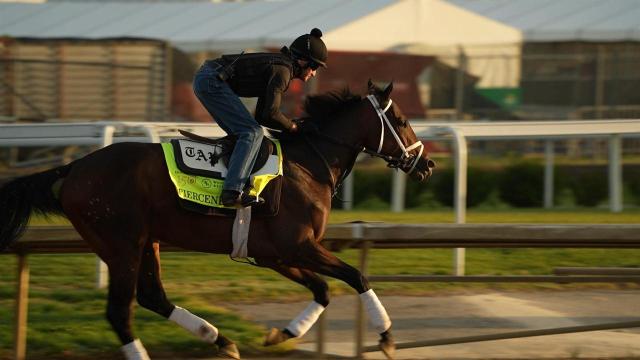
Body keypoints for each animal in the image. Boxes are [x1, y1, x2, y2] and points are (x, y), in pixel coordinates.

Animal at [1, 81, 436, 360]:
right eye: (400, 120)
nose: (427, 164)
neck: (308, 166)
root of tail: (74, 168)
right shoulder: (298, 246)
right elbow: (355, 277)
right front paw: (386, 336)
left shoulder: (275, 255)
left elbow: (323, 289)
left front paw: (283, 334)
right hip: (121, 244)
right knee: (120, 312)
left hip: (146, 241)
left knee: (152, 297)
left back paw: (220, 339)